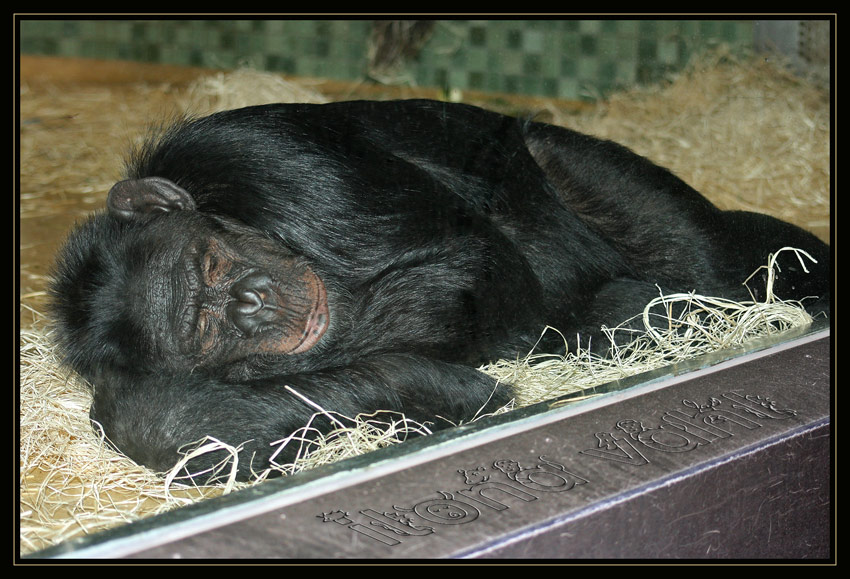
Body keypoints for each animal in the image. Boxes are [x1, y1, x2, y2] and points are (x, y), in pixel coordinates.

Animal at [48, 98, 828, 480]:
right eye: (201, 329)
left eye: (208, 265)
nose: (250, 302)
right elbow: (167, 425)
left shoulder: (279, 166)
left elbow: (469, 265)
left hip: (579, 161)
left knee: (703, 249)